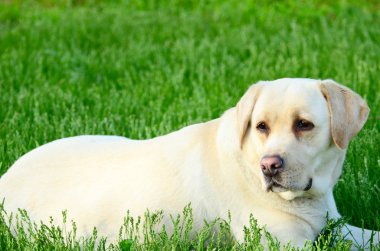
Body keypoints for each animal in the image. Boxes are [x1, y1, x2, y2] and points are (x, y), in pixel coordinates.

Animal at [0, 79, 378, 248]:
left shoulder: (335, 227)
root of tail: (7, 175)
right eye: (261, 127)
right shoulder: (282, 242)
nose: (269, 166)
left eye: (304, 124)